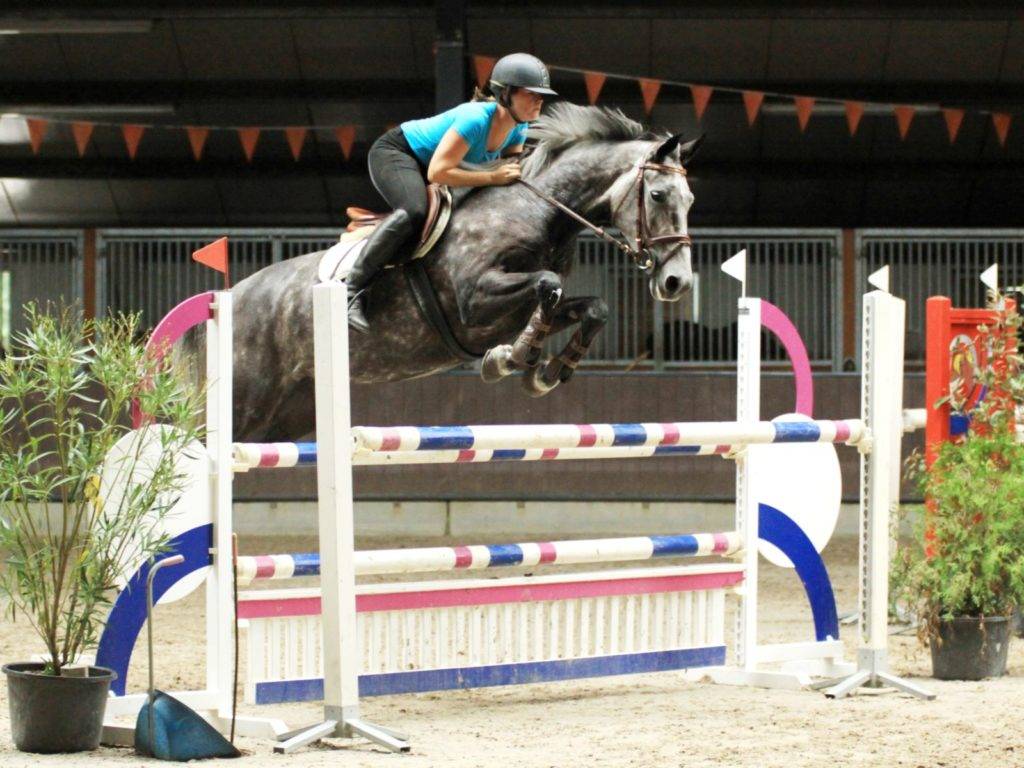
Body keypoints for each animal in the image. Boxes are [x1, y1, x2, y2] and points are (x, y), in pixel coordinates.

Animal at [225, 103, 701, 441]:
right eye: (658, 195)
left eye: (690, 200)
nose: (677, 282)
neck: (541, 210)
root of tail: (230, 297)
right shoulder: (475, 303)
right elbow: (547, 285)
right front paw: (514, 358)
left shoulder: (514, 310)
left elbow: (590, 307)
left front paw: (544, 373)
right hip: (246, 404)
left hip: (289, 414)